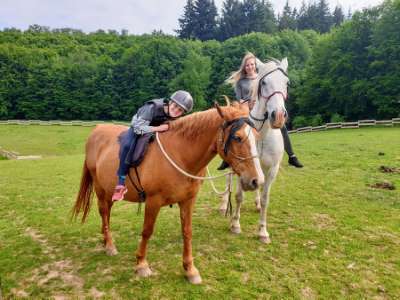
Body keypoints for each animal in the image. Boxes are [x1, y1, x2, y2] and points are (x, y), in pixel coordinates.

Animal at [72, 102, 264, 284]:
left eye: (256, 136)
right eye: (238, 137)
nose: (257, 180)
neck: (181, 155)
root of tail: (96, 130)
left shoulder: (188, 200)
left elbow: (187, 232)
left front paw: (190, 269)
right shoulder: (153, 201)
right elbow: (147, 231)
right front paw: (141, 264)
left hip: (108, 190)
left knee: (107, 213)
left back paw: (106, 240)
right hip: (100, 188)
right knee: (104, 212)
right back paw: (110, 245)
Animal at [219, 58, 288, 244]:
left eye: (287, 83)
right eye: (263, 83)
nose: (278, 116)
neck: (261, 135)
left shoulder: (271, 170)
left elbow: (265, 199)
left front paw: (263, 232)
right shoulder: (240, 166)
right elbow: (238, 196)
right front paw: (235, 224)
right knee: (227, 181)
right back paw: (223, 204)